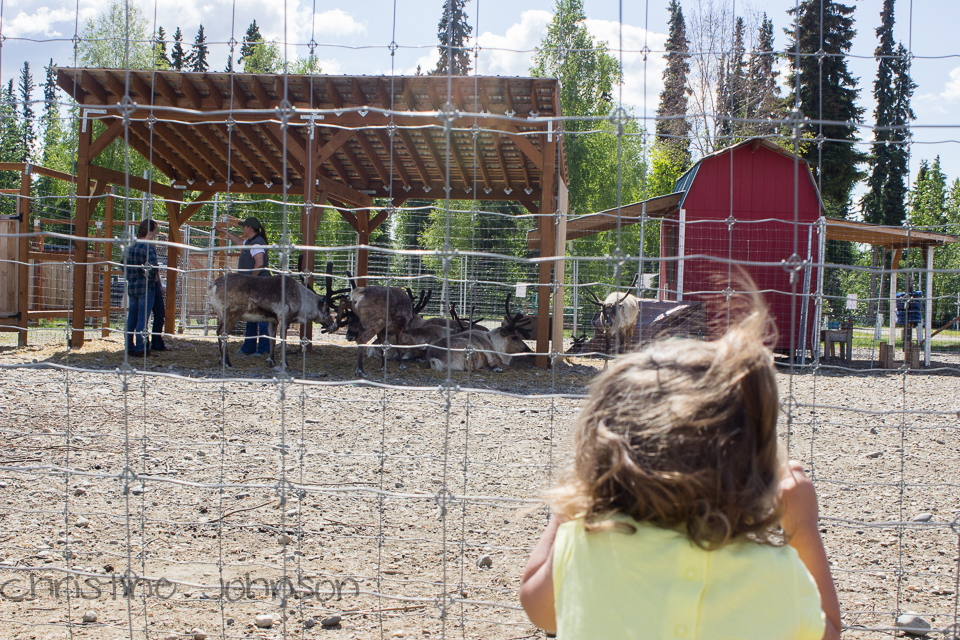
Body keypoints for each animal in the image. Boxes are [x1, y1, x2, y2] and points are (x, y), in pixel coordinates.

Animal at [208, 262, 345, 368]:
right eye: (327, 309)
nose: (333, 325)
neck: (301, 299)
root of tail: (213, 286)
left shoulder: (272, 320)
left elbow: (271, 340)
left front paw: (271, 360)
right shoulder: (284, 318)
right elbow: (283, 340)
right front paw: (285, 363)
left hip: (221, 315)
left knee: (218, 331)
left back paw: (221, 360)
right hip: (232, 314)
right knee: (221, 333)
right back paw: (227, 363)